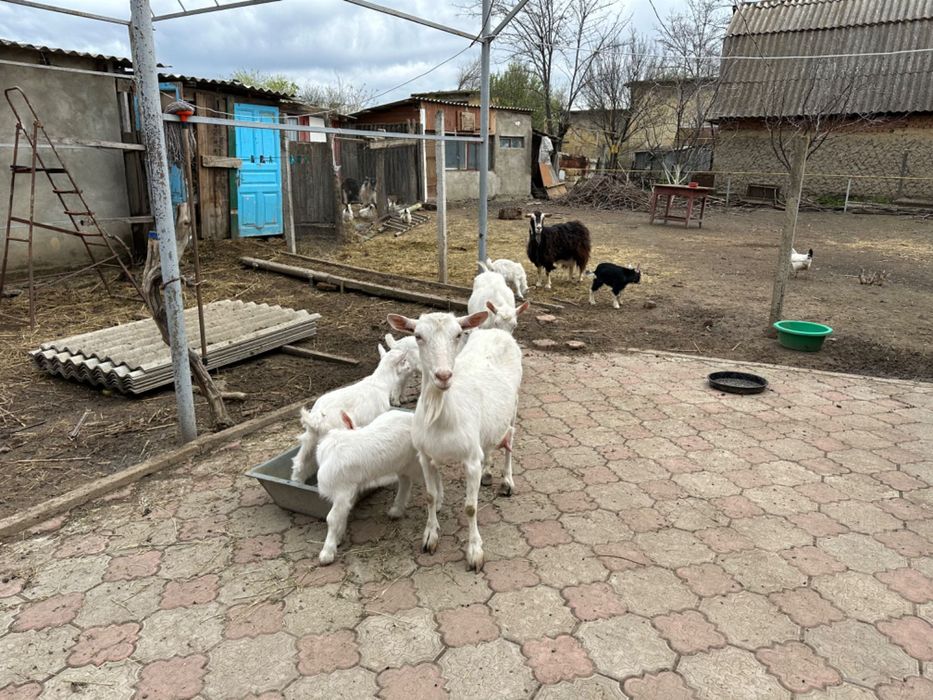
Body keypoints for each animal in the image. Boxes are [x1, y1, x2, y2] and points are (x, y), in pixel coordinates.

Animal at [290, 343, 418, 483]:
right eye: (404, 360)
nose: (411, 367)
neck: (380, 382)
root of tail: (316, 420)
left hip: (309, 438)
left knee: (299, 462)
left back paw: (297, 481)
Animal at [315, 410, 422, 564]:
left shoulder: (342, 490)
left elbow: (332, 518)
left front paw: (327, 553)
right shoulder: (350, 489)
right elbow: (344, 513)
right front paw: (338, 538)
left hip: (416, 461)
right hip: (401, 463)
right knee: (405, 481)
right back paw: (396, 510)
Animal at [387, 311, 523, 572]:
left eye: (458, 334)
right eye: (418, 335)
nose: (443, 376)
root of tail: (497, 331)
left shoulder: (470, 459)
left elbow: (471, 507)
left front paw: (475, 552)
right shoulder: (425, 455)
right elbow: (430, 496)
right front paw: (430, 537)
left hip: (514, 403)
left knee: (510, 439)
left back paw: (507, 481)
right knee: (489, 444)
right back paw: (488, 473)